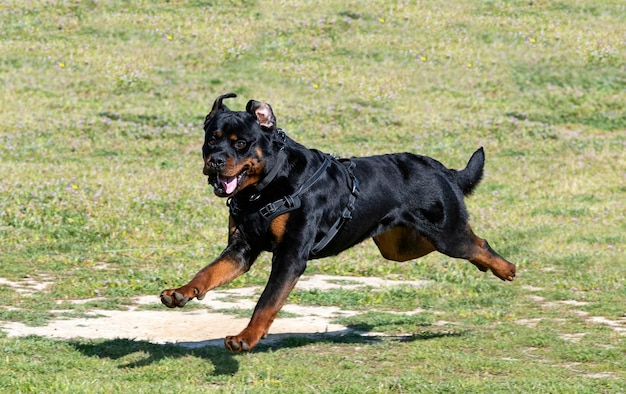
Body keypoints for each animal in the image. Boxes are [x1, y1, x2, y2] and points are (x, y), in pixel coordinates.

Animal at [160, 94, 512, 352]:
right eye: (211, 140)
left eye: (241, 143)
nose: (215, 161)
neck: (266, 189)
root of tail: (444, 170)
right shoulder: (242, 249)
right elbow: (208, 272)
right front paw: (180, 293)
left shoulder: (290, 256)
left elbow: (266, 302)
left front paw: (245, 338)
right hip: (399, 246)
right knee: (463, 245)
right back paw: (487, 267)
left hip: (444, 234)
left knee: (476, 243)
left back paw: (504, 268)